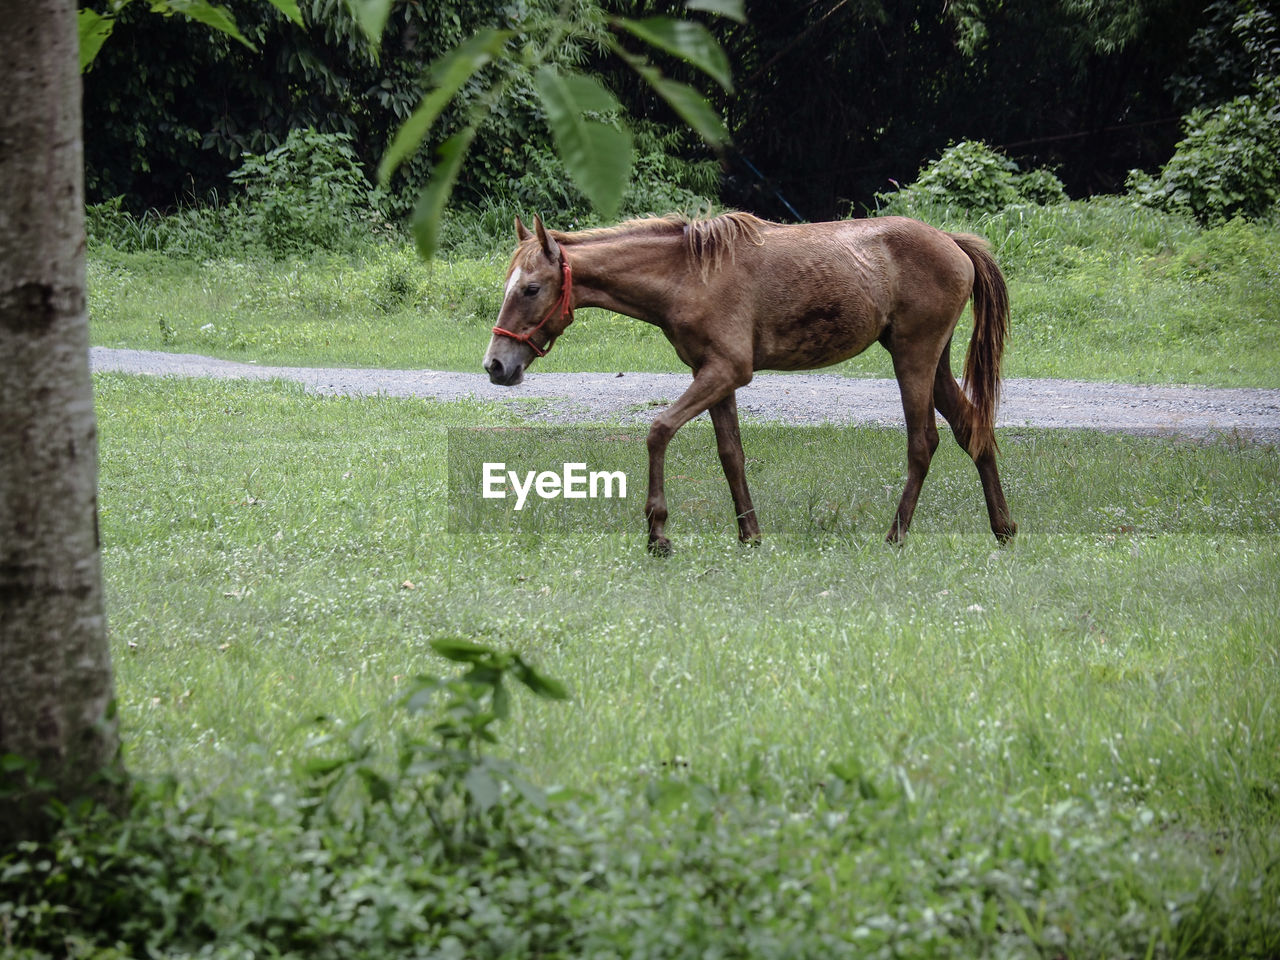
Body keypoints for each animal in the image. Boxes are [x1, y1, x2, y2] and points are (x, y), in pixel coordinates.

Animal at [483, 213, 1013, 552]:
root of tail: (952, 241)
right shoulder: (712, 375)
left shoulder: (726, 371)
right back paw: (1003, 528)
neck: (689, 275)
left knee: (924, 444)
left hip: (913, 359)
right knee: (973, 431)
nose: (495, 366)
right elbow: (730, 454)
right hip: (932, 364)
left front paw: (658, 534)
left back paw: (896, 536)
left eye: (531, 288)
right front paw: (750, 535)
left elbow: (658, 430)